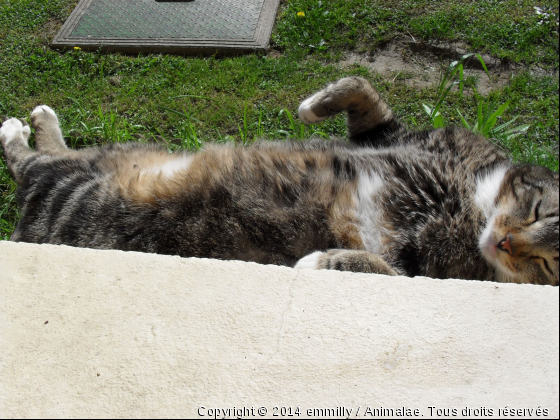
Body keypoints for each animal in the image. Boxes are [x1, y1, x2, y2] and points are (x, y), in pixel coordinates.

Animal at [0, 77, 556, 284]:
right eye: (539, 211)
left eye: (549, 263)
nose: (506, 242)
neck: (471, 202)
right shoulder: (395, 136)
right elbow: (361, 89)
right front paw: (312, 105)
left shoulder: (434, 276)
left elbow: (379, 267)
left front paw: (318, 260)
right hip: (112, 156)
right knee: (57, 152)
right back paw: (40, 120)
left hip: (73, 190)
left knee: (28, 164)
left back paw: (15, 129)